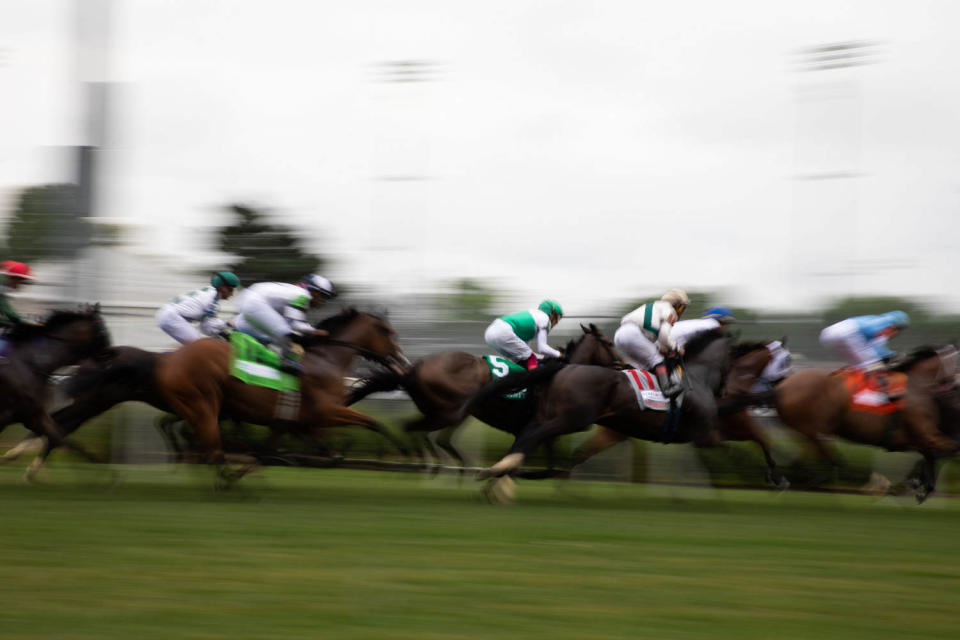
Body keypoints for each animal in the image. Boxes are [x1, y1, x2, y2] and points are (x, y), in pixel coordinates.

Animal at [0, 306, 110, 480]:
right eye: (102, 330)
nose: (111, 354)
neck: (31, 363)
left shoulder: (33, 414)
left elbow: (61, 438)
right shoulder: (16, 414)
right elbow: (59, 439)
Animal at [149, 308, 408, 482]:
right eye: (388, 332)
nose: (403, 361)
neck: (327, 360)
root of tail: (173, 358)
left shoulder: (291, 422)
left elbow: (273, 453)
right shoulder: (325, 412)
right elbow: (373, 422)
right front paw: (403, 451)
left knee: (184, 430)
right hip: (205, 402)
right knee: (199, 435)